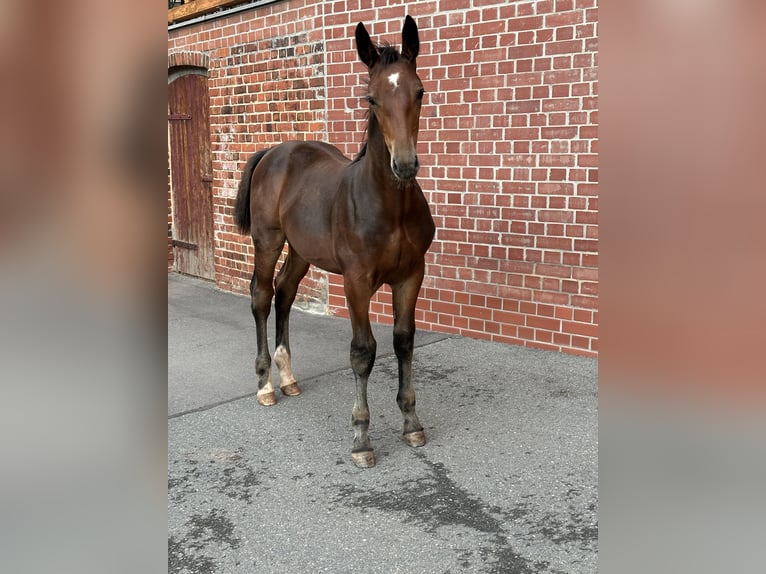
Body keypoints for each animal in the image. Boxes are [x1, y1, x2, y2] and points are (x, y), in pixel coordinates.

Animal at [234, 15, 436, 470]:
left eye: (419, 91)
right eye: (372, 98)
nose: (405, 165)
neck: (390, 205)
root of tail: (273, 151)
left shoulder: (411, 275)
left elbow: (403, 341)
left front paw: (412, 423)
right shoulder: (356, 281)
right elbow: (363, 351)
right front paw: (361, 439)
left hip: (301, 250)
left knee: (285, 293)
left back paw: (288, 377)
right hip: (268, 241)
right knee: (261, 296)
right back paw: (265, 385)